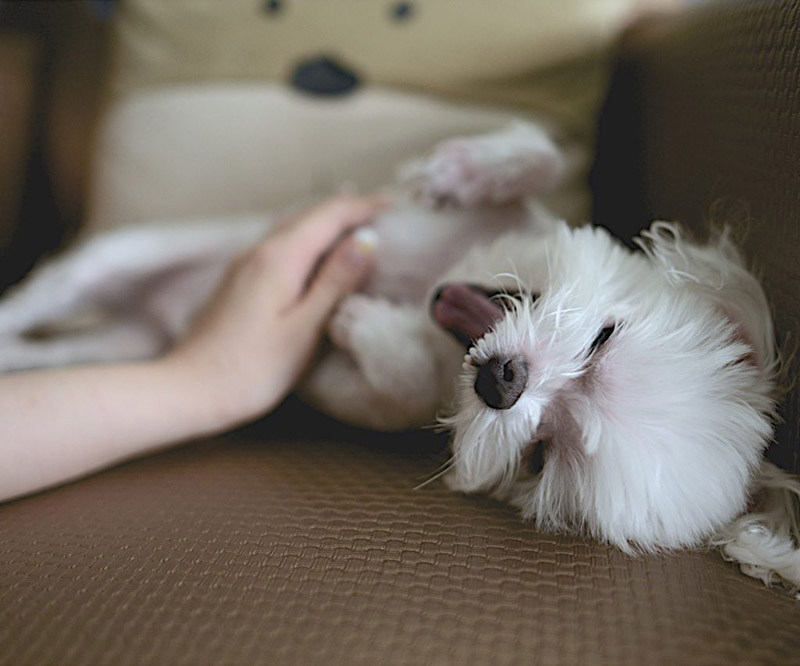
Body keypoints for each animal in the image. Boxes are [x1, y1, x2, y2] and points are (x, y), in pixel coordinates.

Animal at [1, 122, 800, 588]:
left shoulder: (376, 395)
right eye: (604, 341)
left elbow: (396, 377)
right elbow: (540, 154)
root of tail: (153, 316)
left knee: (59, 348)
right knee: (46, 292)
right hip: (120, 256)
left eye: (540, 454)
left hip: (121, 346)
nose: (504, 381)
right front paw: (467, 171)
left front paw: (361, 321)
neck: (443, 283)